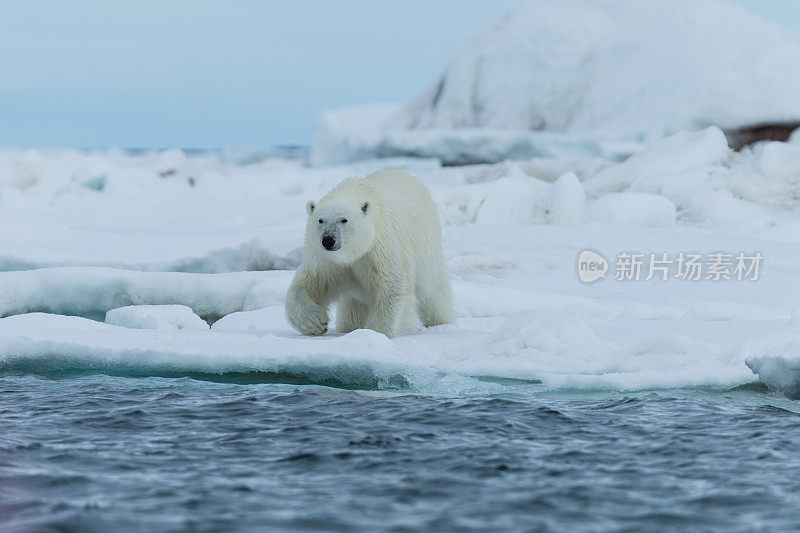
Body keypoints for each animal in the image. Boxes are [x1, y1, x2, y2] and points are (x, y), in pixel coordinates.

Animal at [286, 169, 450, 336]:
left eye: (344, 220)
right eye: (321, 220)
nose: (328, 240)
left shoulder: (379, 249)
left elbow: (392, 286)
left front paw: (376, 333)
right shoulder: (328, 260)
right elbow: (311, 282)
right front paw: (315, 323)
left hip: (427, 251)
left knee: (433, 294)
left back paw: (440, 322)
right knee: (352, 310)